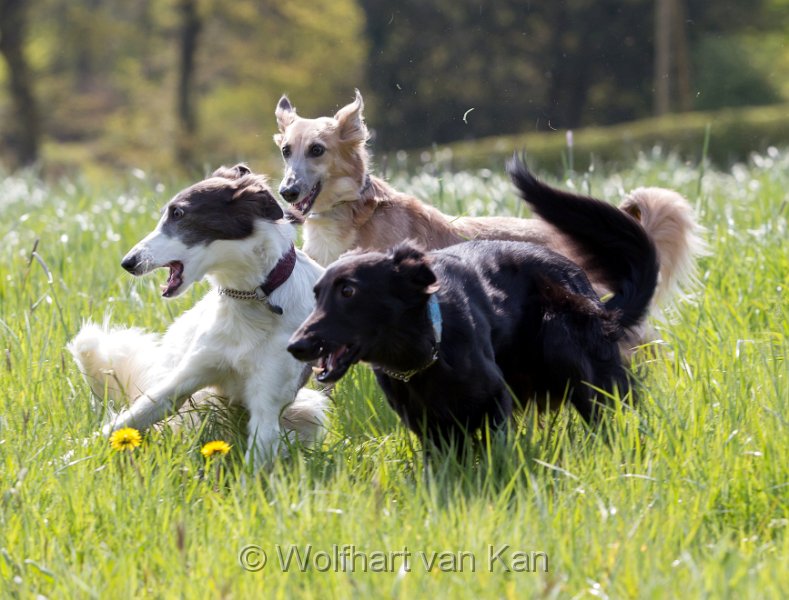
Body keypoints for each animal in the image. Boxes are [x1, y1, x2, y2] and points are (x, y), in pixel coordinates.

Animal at [286, 157, 656, 448]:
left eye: (348, 292)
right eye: (317, 294)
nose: (295, 346)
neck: (425, 350)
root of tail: (600, 305)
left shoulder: (494, 402)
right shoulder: (427, 423)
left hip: (565, 345)